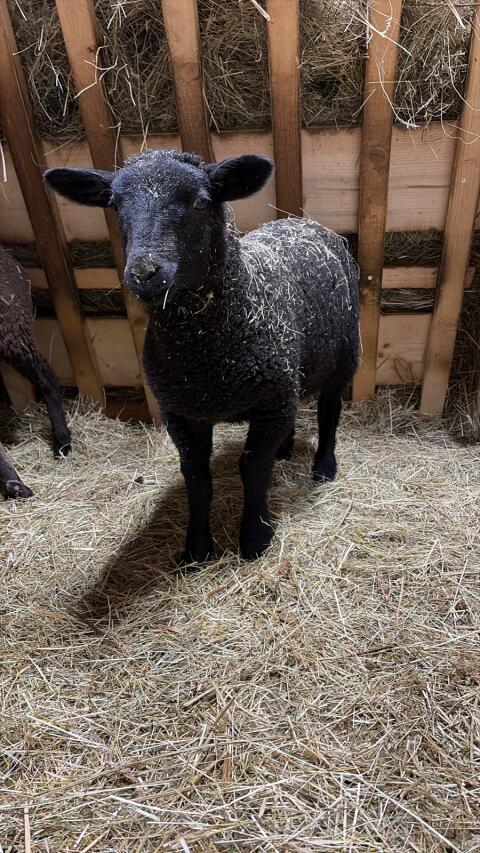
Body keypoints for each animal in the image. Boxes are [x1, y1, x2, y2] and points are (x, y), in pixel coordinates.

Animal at [44, 150, 359, 561]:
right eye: (114, 204)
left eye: (200, 201)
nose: (144, 272)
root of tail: (302, 220)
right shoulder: (182, 411)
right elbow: (196, 477)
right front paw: (196, 547)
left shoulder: (266, 399)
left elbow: (253, 469)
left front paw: (254, 537)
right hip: (287, 379)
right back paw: (285, 447)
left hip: (344, 353)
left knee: (329, 411)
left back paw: (324, 465)